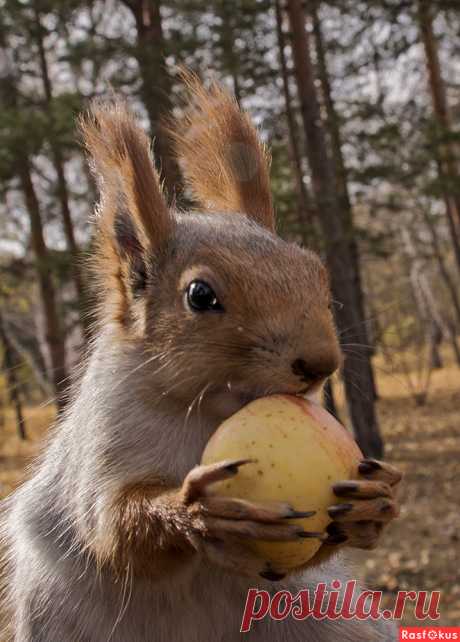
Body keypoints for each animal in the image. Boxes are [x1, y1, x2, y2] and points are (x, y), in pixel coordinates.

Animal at [0, 72, 400, 636]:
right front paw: (196, 511)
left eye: (315, 271)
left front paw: (375, 502)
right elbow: (111, 531)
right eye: (200, 295)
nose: (321, 364)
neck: (207, 409)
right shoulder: (99, 448)